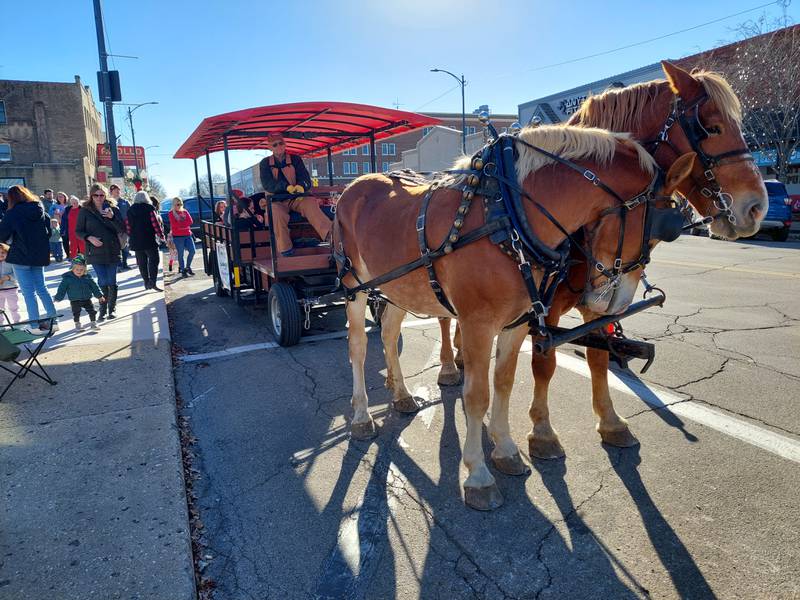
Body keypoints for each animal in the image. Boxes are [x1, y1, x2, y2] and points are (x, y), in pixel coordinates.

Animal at [334, 124, 696, 508]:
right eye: (662, 231)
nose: (613, 304)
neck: (508, 216)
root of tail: (350, 188)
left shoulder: (518, 322)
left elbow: (503, 383)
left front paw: (506, 449)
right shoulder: (477, 325)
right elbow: (477, 395)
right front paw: (478, 475)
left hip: (396, 287)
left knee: (388, 335)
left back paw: (401, 394)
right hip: (354, 286)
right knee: (358, 348)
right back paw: (361, 416)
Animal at [438, 61, 768, 462]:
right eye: (713, 128)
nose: (757, 207)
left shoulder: (598, 299)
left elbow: (597, 356)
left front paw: (611, 421)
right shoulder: (545, 307)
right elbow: (544, 363)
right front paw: (543, 432)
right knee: (444, 319)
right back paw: (449, 365)